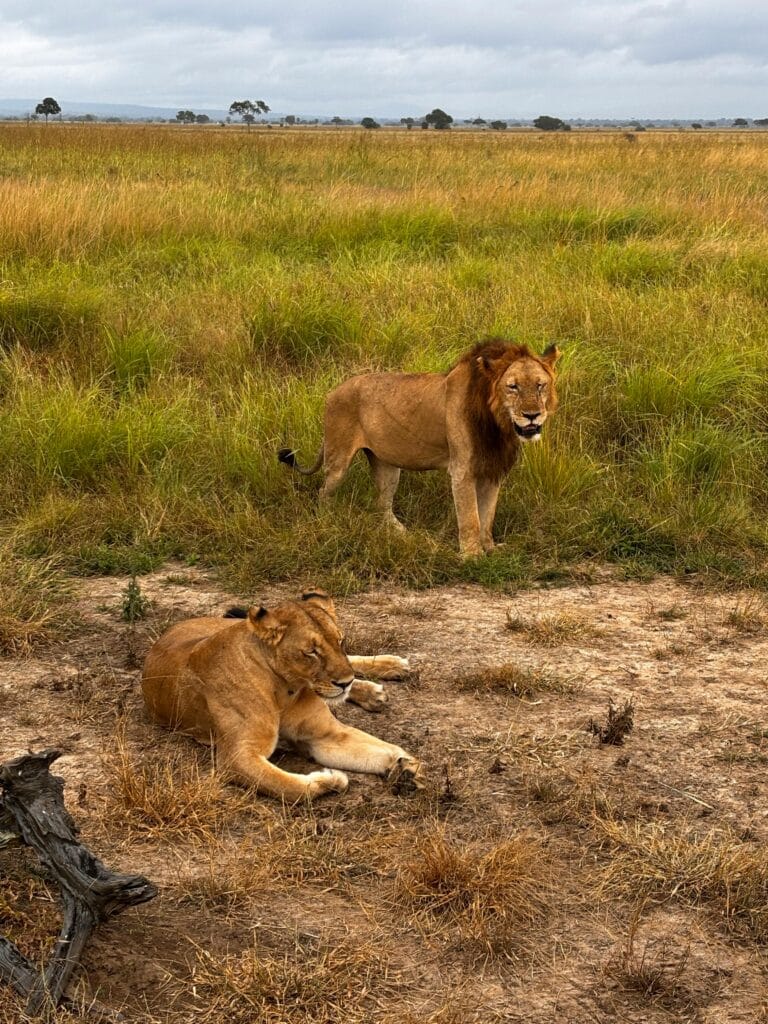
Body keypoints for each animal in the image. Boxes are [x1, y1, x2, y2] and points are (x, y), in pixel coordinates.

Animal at [141, 590, 421, 801]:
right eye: (311, 652)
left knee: (353, 662)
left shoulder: (326, 734)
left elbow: (382, 749)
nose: (345, 682)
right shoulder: (237, 756)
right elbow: (290, 788)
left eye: (340, 641)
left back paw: (389, 670)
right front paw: (330, 781)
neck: (287, 689)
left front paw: (408, 766)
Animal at [278, 339, 560, 558]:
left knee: (382, 504)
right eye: (512, 386)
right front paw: (472, 555)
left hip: (387, 466)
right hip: (338, 460)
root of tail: (332, 392)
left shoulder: (493, 470)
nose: (532, 416)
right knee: (324, 492)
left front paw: (490, 548)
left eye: (540, 385)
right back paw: (325, 522)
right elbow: (470, 517)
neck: (498, 424)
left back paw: (402, 535)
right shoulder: (462, 471)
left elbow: (487, 515)